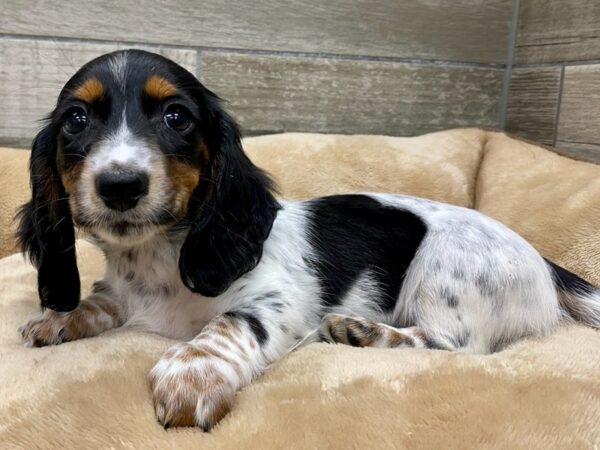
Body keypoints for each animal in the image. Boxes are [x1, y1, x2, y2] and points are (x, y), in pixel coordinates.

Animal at [15, 48, 600, 428]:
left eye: (176, 117)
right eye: (75, 120)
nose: (120, 185)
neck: (158, 256)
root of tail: (545, 263)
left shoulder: (277, 298)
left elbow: (229, 323)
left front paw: (193, 371)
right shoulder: (121, 290)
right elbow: (99, 301)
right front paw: (59, 317)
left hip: (442, 274)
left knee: (455, 347)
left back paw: (364, 332)